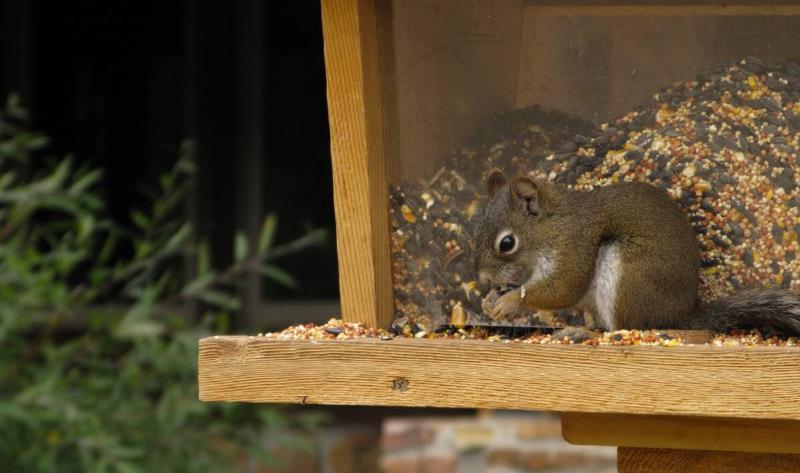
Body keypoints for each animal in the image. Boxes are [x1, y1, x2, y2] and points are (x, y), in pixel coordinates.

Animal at [474, 170, 800, 340]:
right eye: (476, 230)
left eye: (507, 243)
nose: (484, 278)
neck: (550, 227)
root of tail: (680, 315)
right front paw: (491, 300)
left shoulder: (574, 246)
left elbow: (564, 288)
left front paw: (509, 302)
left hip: (627, 273)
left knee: (624, 329)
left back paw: (583, 332)